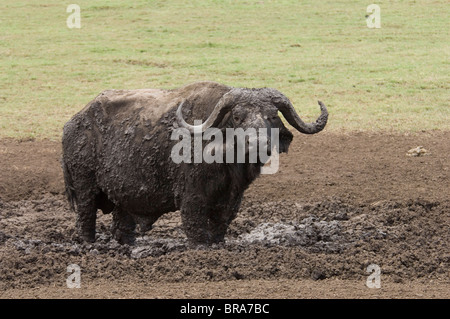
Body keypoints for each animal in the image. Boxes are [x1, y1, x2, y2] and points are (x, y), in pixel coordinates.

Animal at [61, 82, 326, 245]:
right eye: (237, 117)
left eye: (272, 116)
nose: (257, 143)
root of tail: (73, 122)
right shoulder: (192, 197)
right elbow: (196, 229)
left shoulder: (231, 200)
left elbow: (219, 227)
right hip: (85, 188)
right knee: (85, 219)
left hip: (122, 195)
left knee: (122, 225)